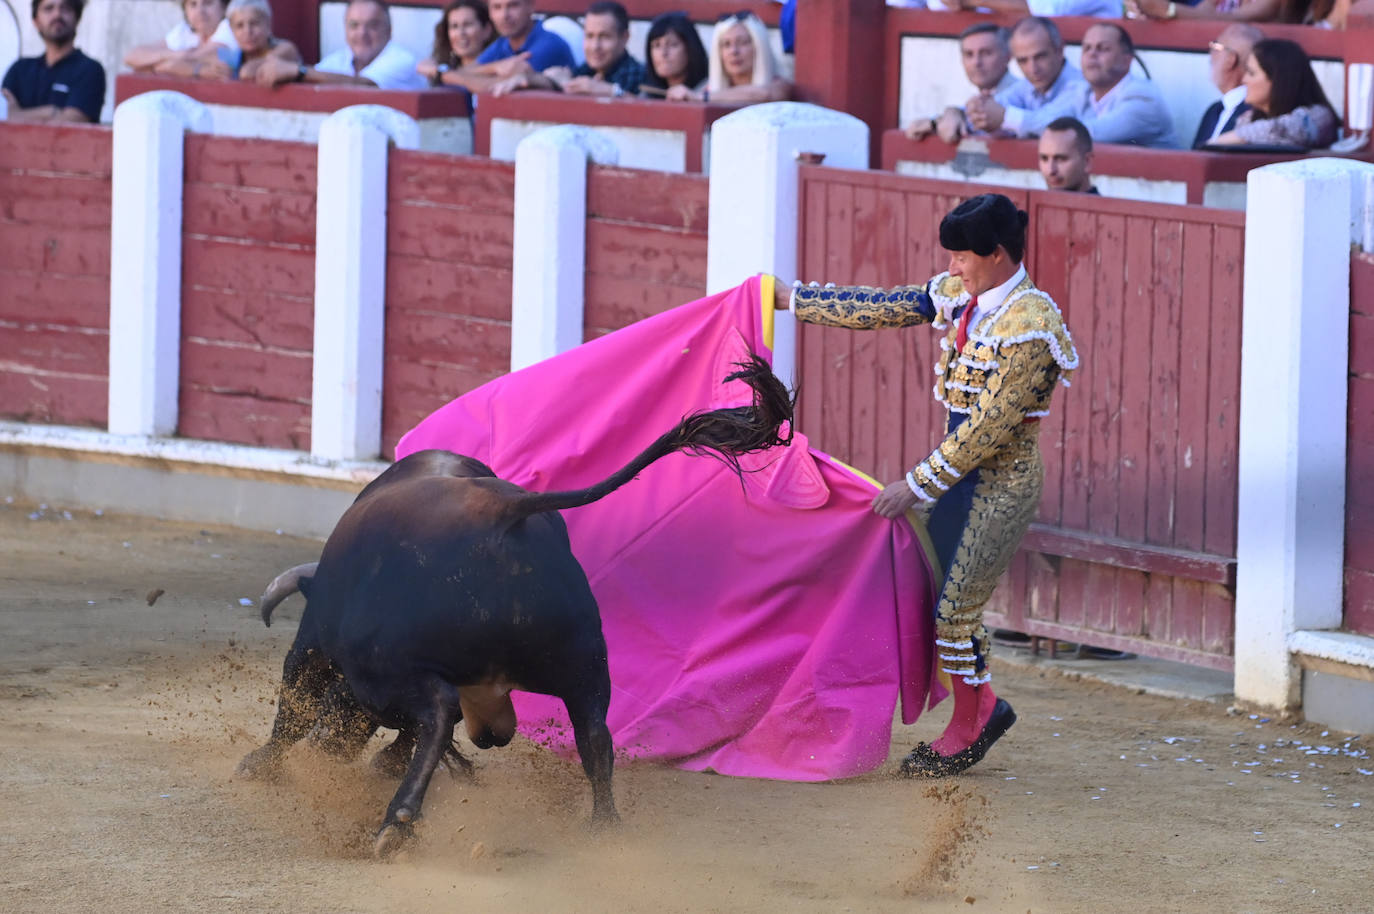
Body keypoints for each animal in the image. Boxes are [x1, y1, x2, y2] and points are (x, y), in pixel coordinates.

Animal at [237, 357, 796, 857]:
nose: (331, 748)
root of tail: (502, 510)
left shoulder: (320, 645)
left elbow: (296, 703)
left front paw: (263, 764)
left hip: (396, 669)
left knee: (437, 713)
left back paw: (396, 823)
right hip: (582, 665)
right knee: (595, 738)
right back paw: (604, 829)